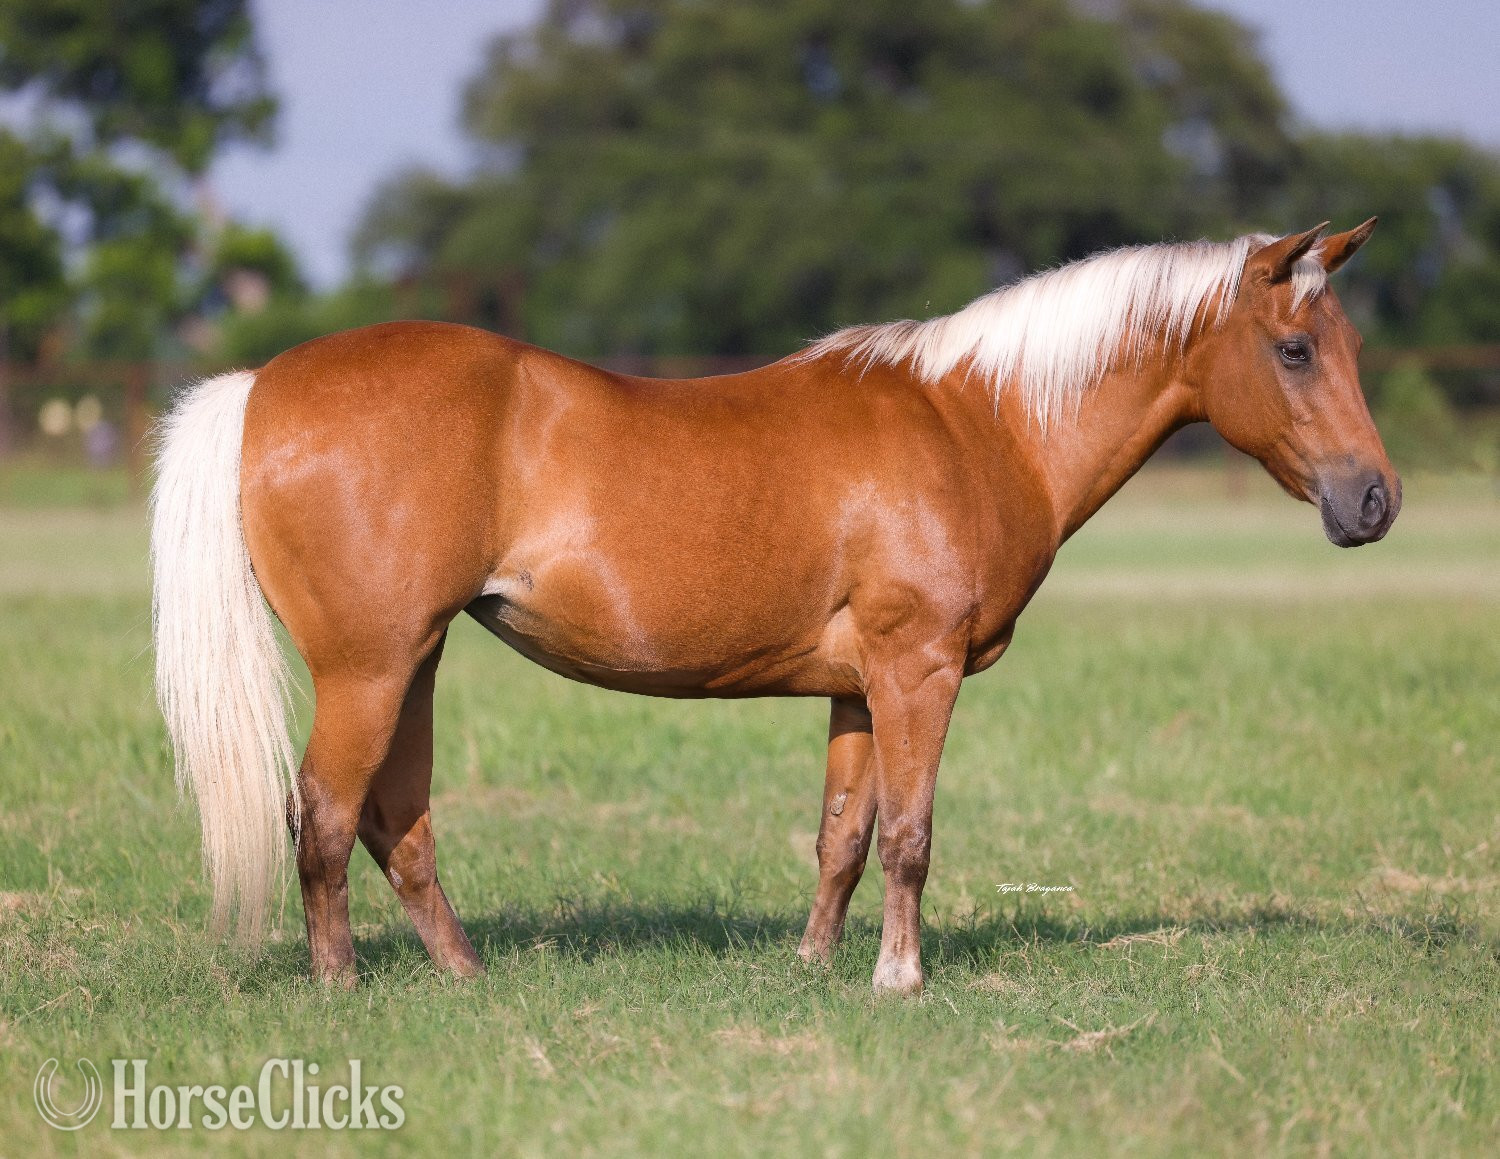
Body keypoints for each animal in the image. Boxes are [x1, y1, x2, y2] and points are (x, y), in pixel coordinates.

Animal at [150, 220, 1397, 994]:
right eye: (1295, 349)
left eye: (1346, 343)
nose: (1375, 501)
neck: (976, 422)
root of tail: (261, 386)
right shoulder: (917, 669)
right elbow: (910, 835)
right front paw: (900, 978)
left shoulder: (860, 687)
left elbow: (843, 836)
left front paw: (814, 967)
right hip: (369, 666)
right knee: (322, 811)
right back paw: (339, 984)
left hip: (415, 660)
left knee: (393, 820)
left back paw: (464, 976)